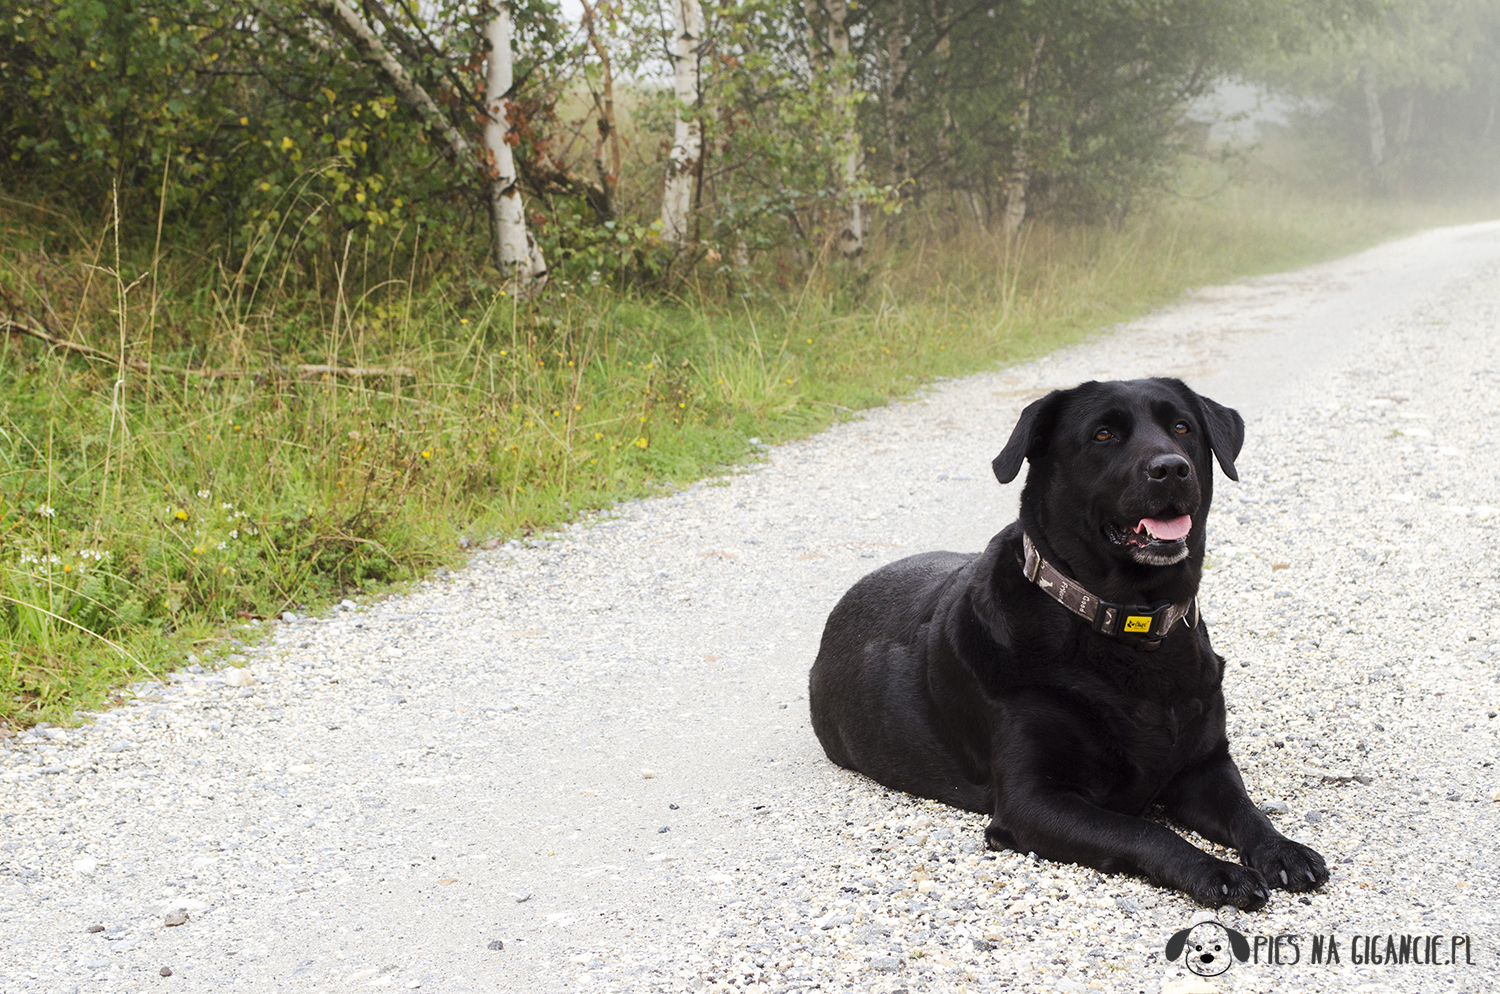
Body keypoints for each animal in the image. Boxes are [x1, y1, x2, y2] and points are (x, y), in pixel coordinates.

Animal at [810, 377, 1326, 905]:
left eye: (1182, 427)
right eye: (1103, 435)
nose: (1171, 468)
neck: (1130, 624)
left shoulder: (1204, 765)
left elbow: (1247, 809)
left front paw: (1282, 849)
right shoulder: (1034, 801)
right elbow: (1144, 830)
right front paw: (1216, 870)